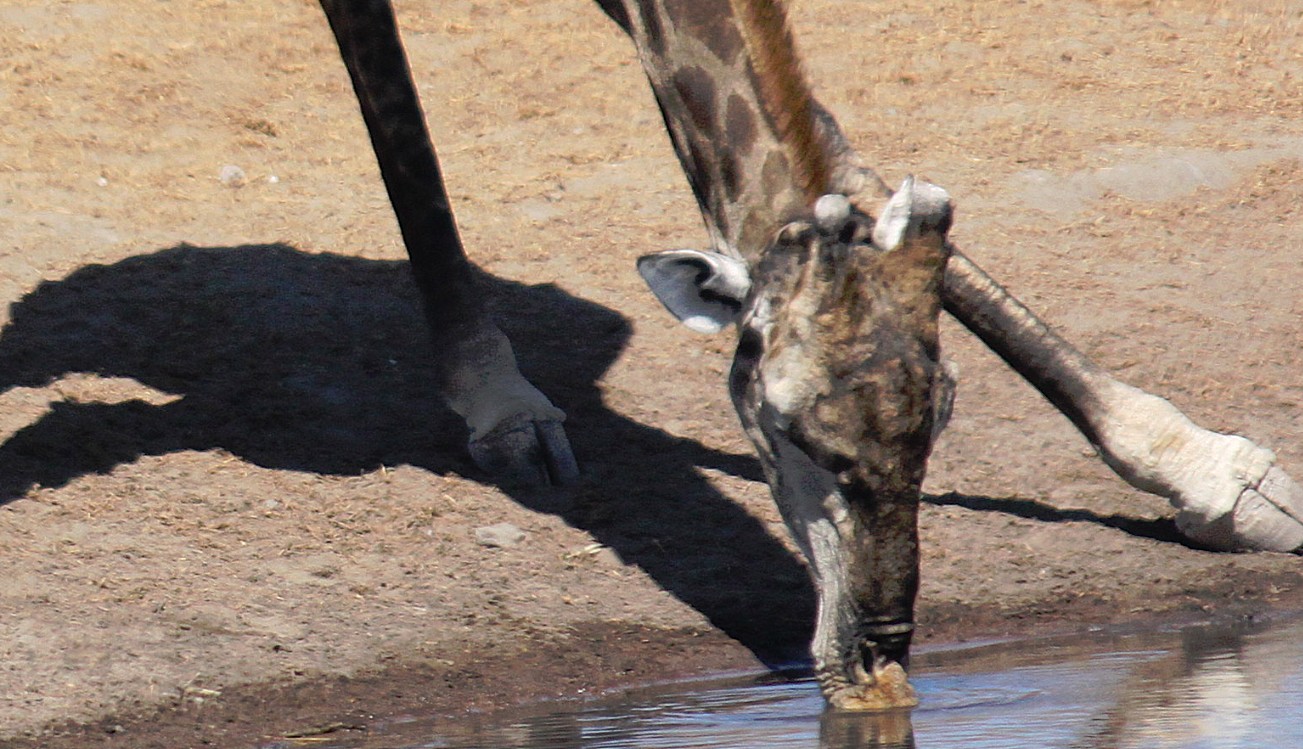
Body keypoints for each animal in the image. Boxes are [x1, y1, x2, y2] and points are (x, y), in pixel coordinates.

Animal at [317, 0, 1303, 708]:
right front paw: (500, 398)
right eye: (787, 428)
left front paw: (1210, 471)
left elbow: (835, 149)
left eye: (940, 420)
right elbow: (392, 104)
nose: (876, 661)